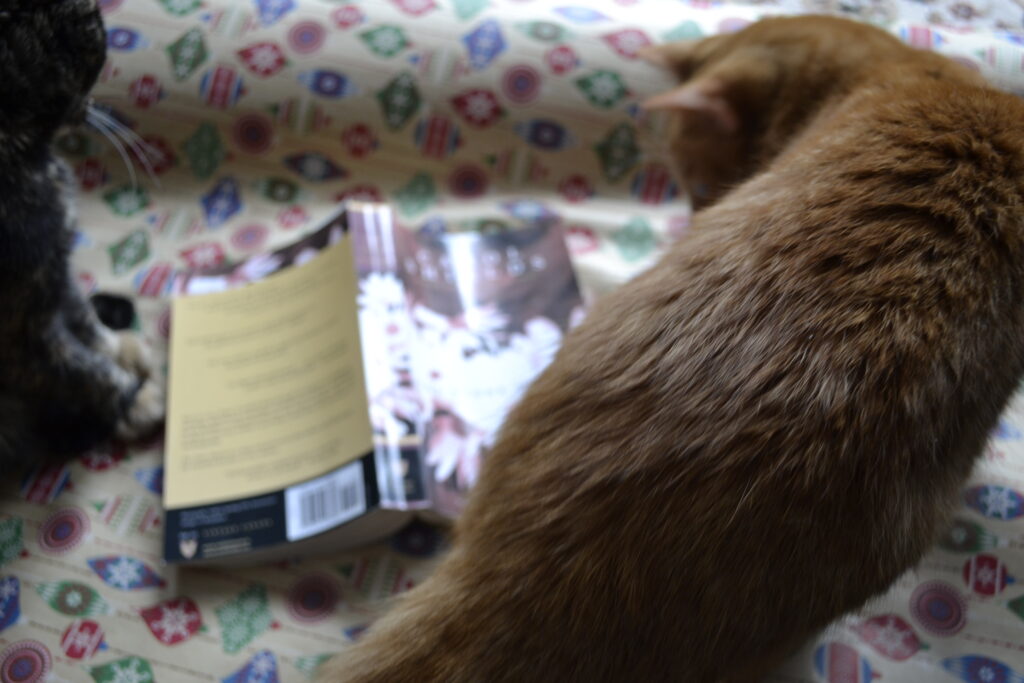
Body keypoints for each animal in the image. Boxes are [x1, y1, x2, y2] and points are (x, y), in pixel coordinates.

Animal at [0, 0, 161, 473]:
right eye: (98, 41)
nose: (91, 105)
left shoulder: (51, 269)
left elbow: (79, 313)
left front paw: (120, 350)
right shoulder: (17, 332)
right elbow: (77, 370)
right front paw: (133, 401)